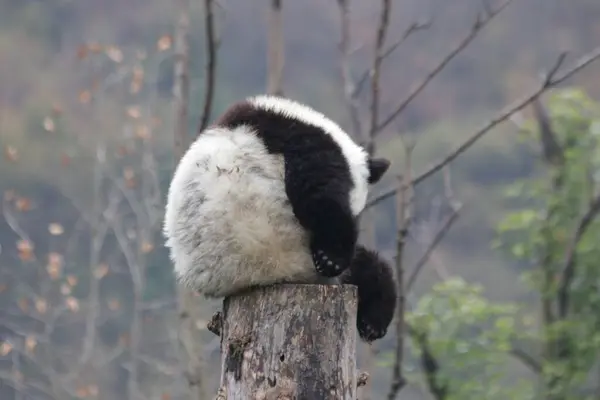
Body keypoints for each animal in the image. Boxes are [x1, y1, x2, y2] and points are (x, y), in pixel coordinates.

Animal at [164, 94, 398, 340]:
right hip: (292, 249)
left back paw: (372, 323)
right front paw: (332, 257)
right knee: (363, 266)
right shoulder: (301, 140)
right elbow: (314, 192)